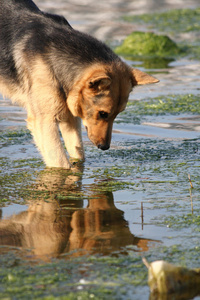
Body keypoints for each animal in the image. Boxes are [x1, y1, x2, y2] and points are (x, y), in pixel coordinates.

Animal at [0, 0, 159, 169]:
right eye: (103, 114)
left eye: (118, 114)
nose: (105, 147)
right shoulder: (45, 122)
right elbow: (61, 162)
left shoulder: (69, 118)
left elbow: (78, 153)